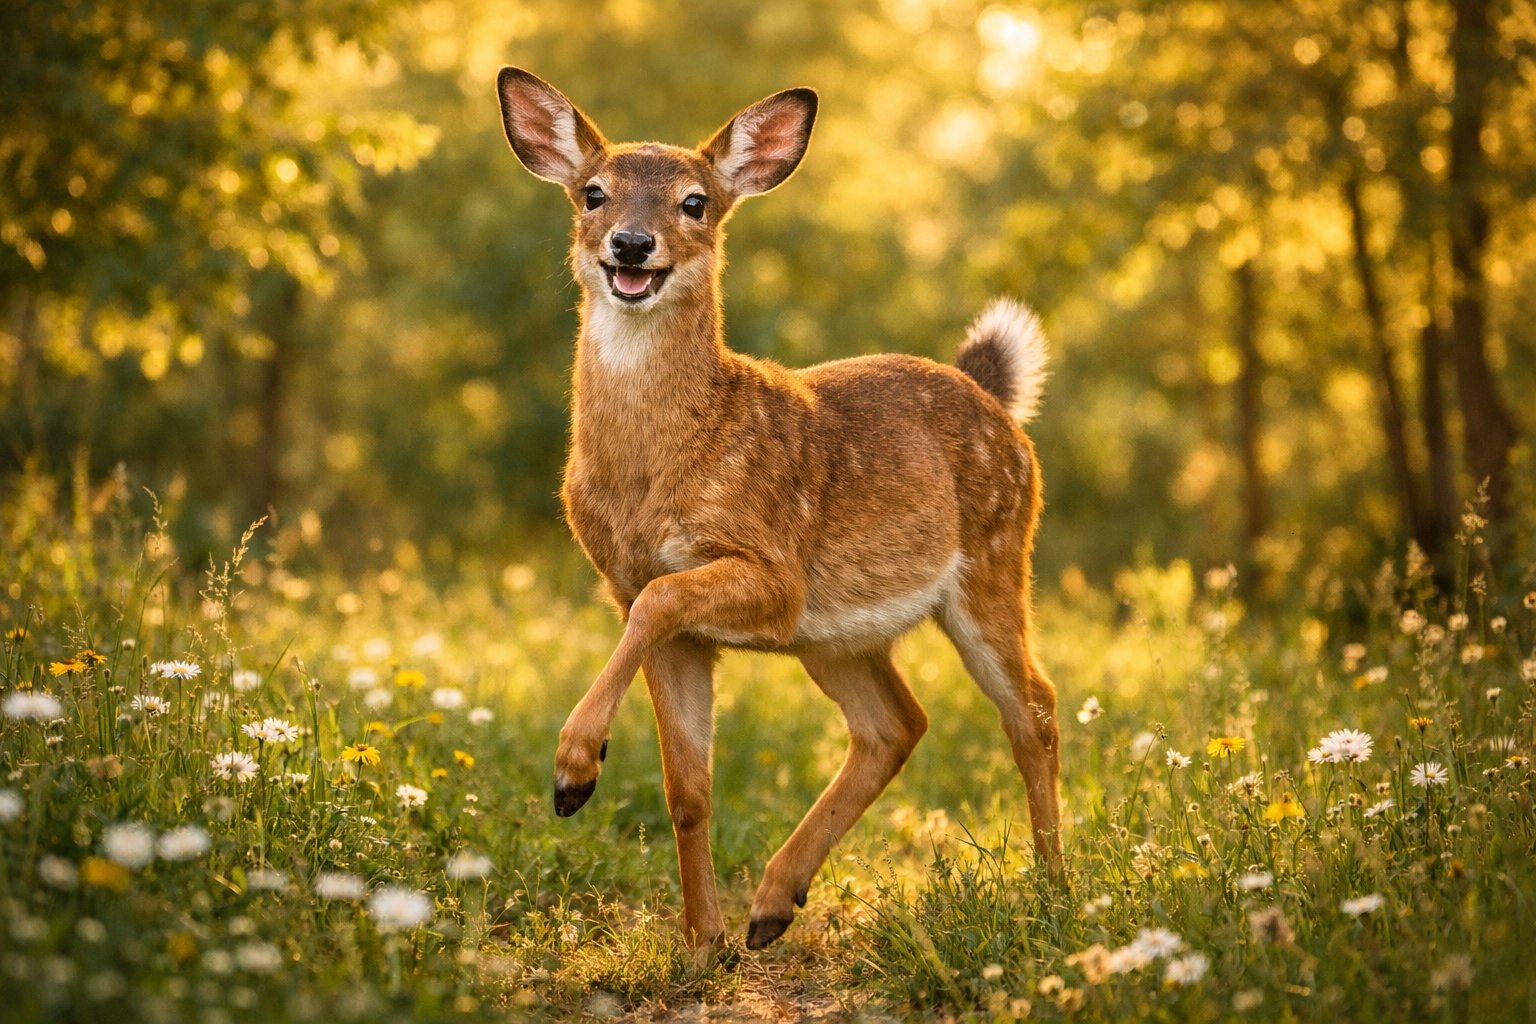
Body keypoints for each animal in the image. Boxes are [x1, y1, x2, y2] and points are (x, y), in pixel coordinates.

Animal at [495, 67, 1062, 953]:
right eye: (593, 192)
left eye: (695, 202)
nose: (632, 244)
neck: (655, 471)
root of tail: (992, 393)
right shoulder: (637, 597)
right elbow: (687, 787)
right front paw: (701, 945)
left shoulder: (771, 571)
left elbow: (663, 597)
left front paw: (573, 771)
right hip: (837, 634)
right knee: (896, 723)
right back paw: (769, 908)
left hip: (994, 561)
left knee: (1033, 709)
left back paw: (1056, 892)